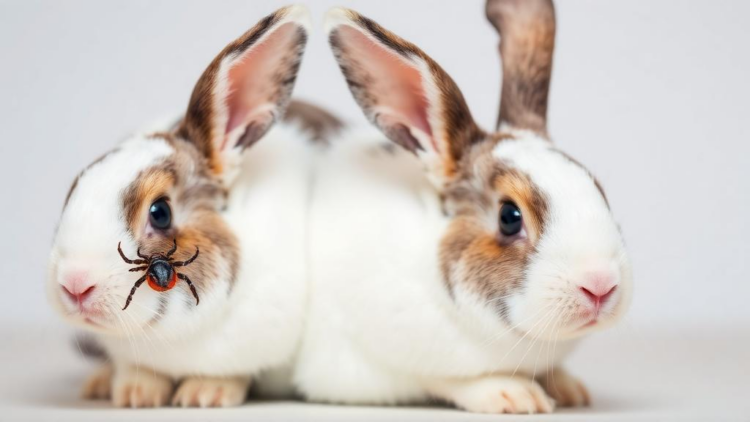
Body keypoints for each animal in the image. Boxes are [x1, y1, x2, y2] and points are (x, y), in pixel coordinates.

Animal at [291, 3, 633, 414]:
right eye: (509, 217)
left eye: (598, 189)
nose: (601, 284)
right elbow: (445, 378)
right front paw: (515, 394)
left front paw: (570, 388)